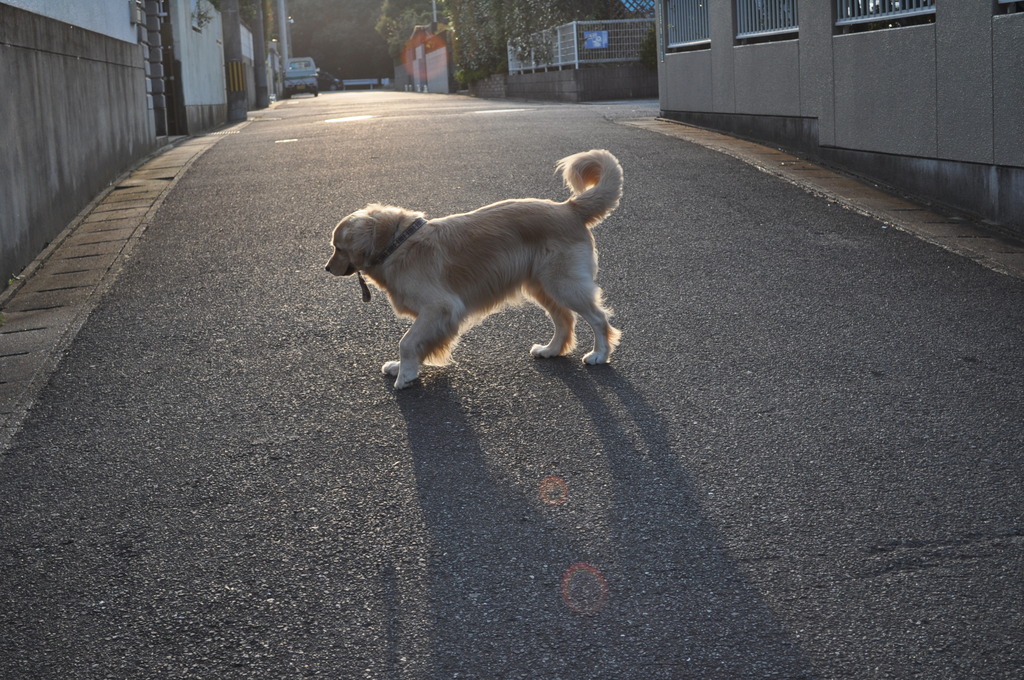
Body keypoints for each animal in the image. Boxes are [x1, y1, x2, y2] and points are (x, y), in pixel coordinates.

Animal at [323, 148, 618, 387]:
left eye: (337, 247)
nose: (326, 268)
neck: (397, 244)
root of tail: (569, 208)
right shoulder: (434, 315)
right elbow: (418, 343)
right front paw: (403, 367)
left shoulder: (440, 307)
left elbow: (407, 342)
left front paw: (404, 375)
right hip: (542, 285)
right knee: (565, 319)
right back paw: (551, 349)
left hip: (563, 283)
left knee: (598, 317)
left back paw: (599, 354)